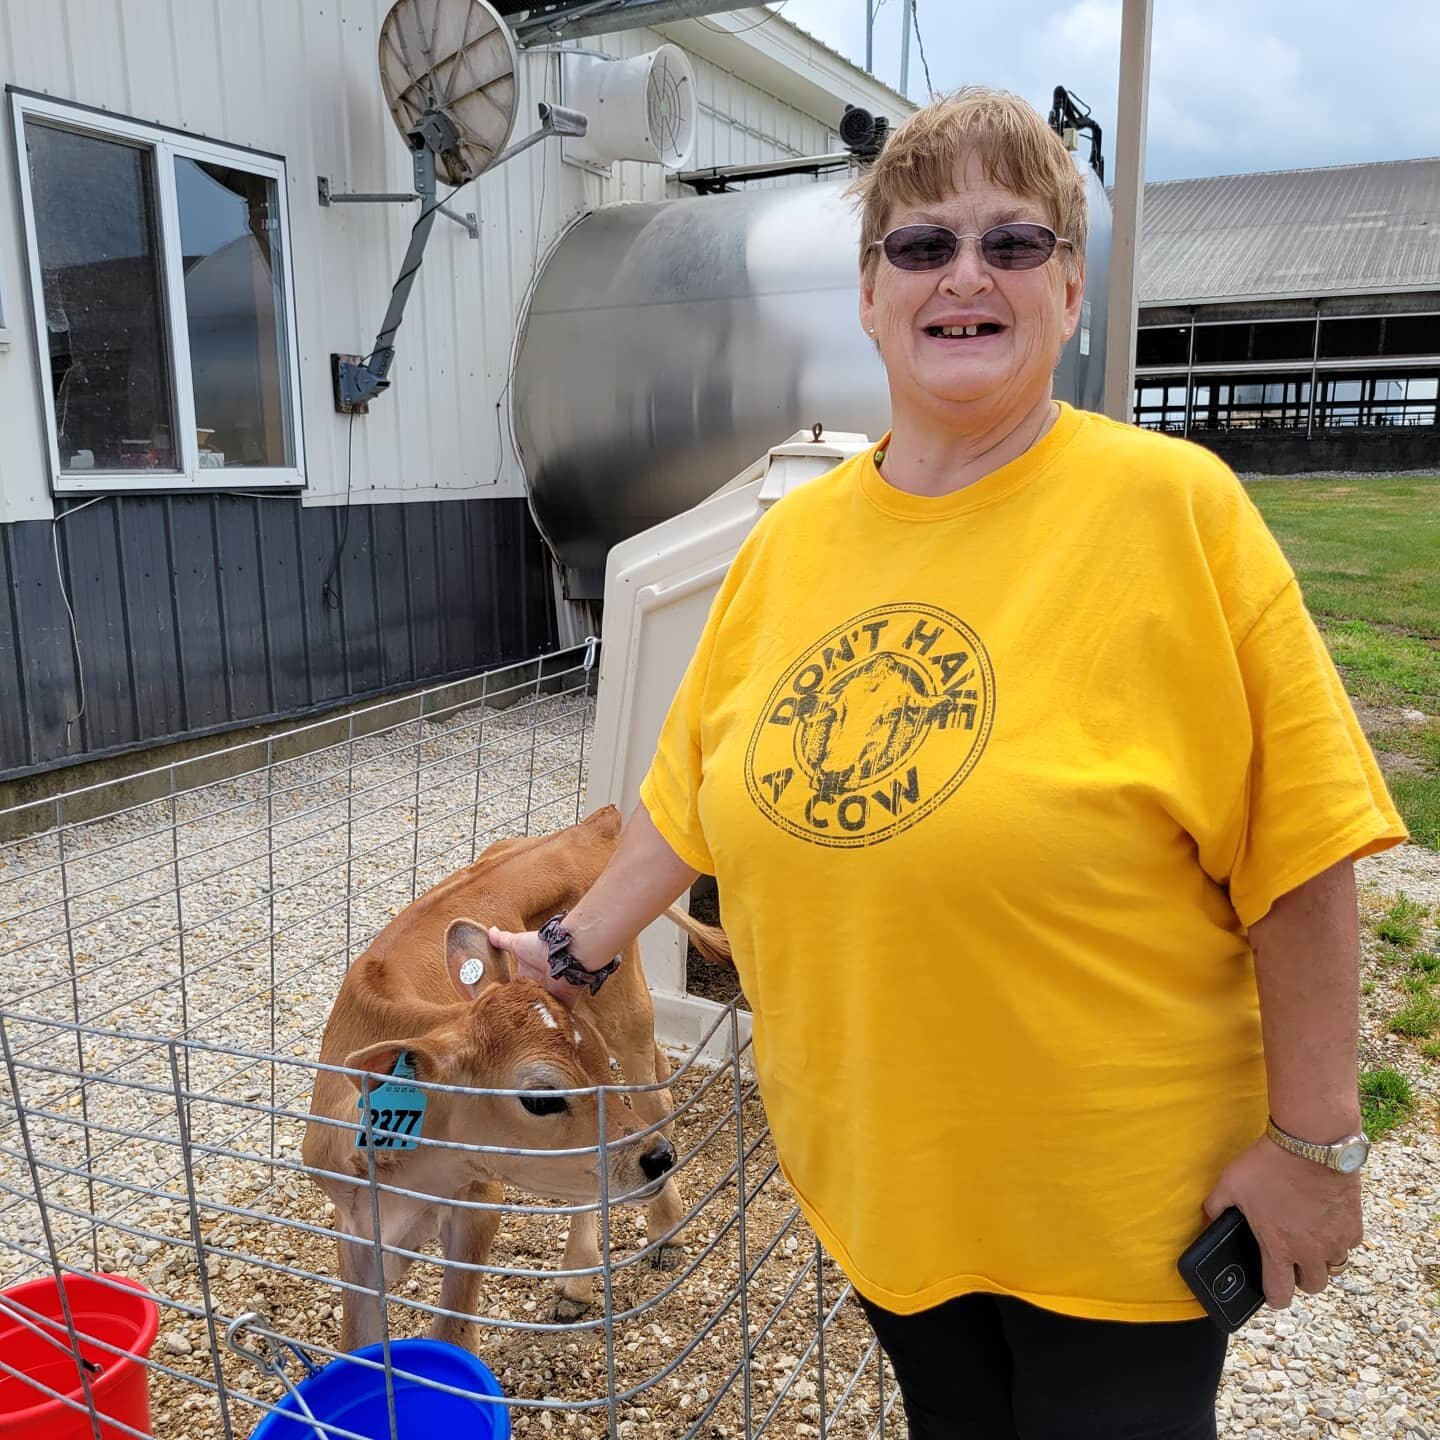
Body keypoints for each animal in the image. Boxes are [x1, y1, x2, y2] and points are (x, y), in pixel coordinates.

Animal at [305, 812, 731, 1347]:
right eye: (540, 1098)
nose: (658, 1159)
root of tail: (593, 824)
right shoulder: (355, 1228)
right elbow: (358, 1345)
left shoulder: (481, 1200)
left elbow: (453, 1333)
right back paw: (577, 1282)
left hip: (626, 1007)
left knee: (655, 1097)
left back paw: (663, 1231)